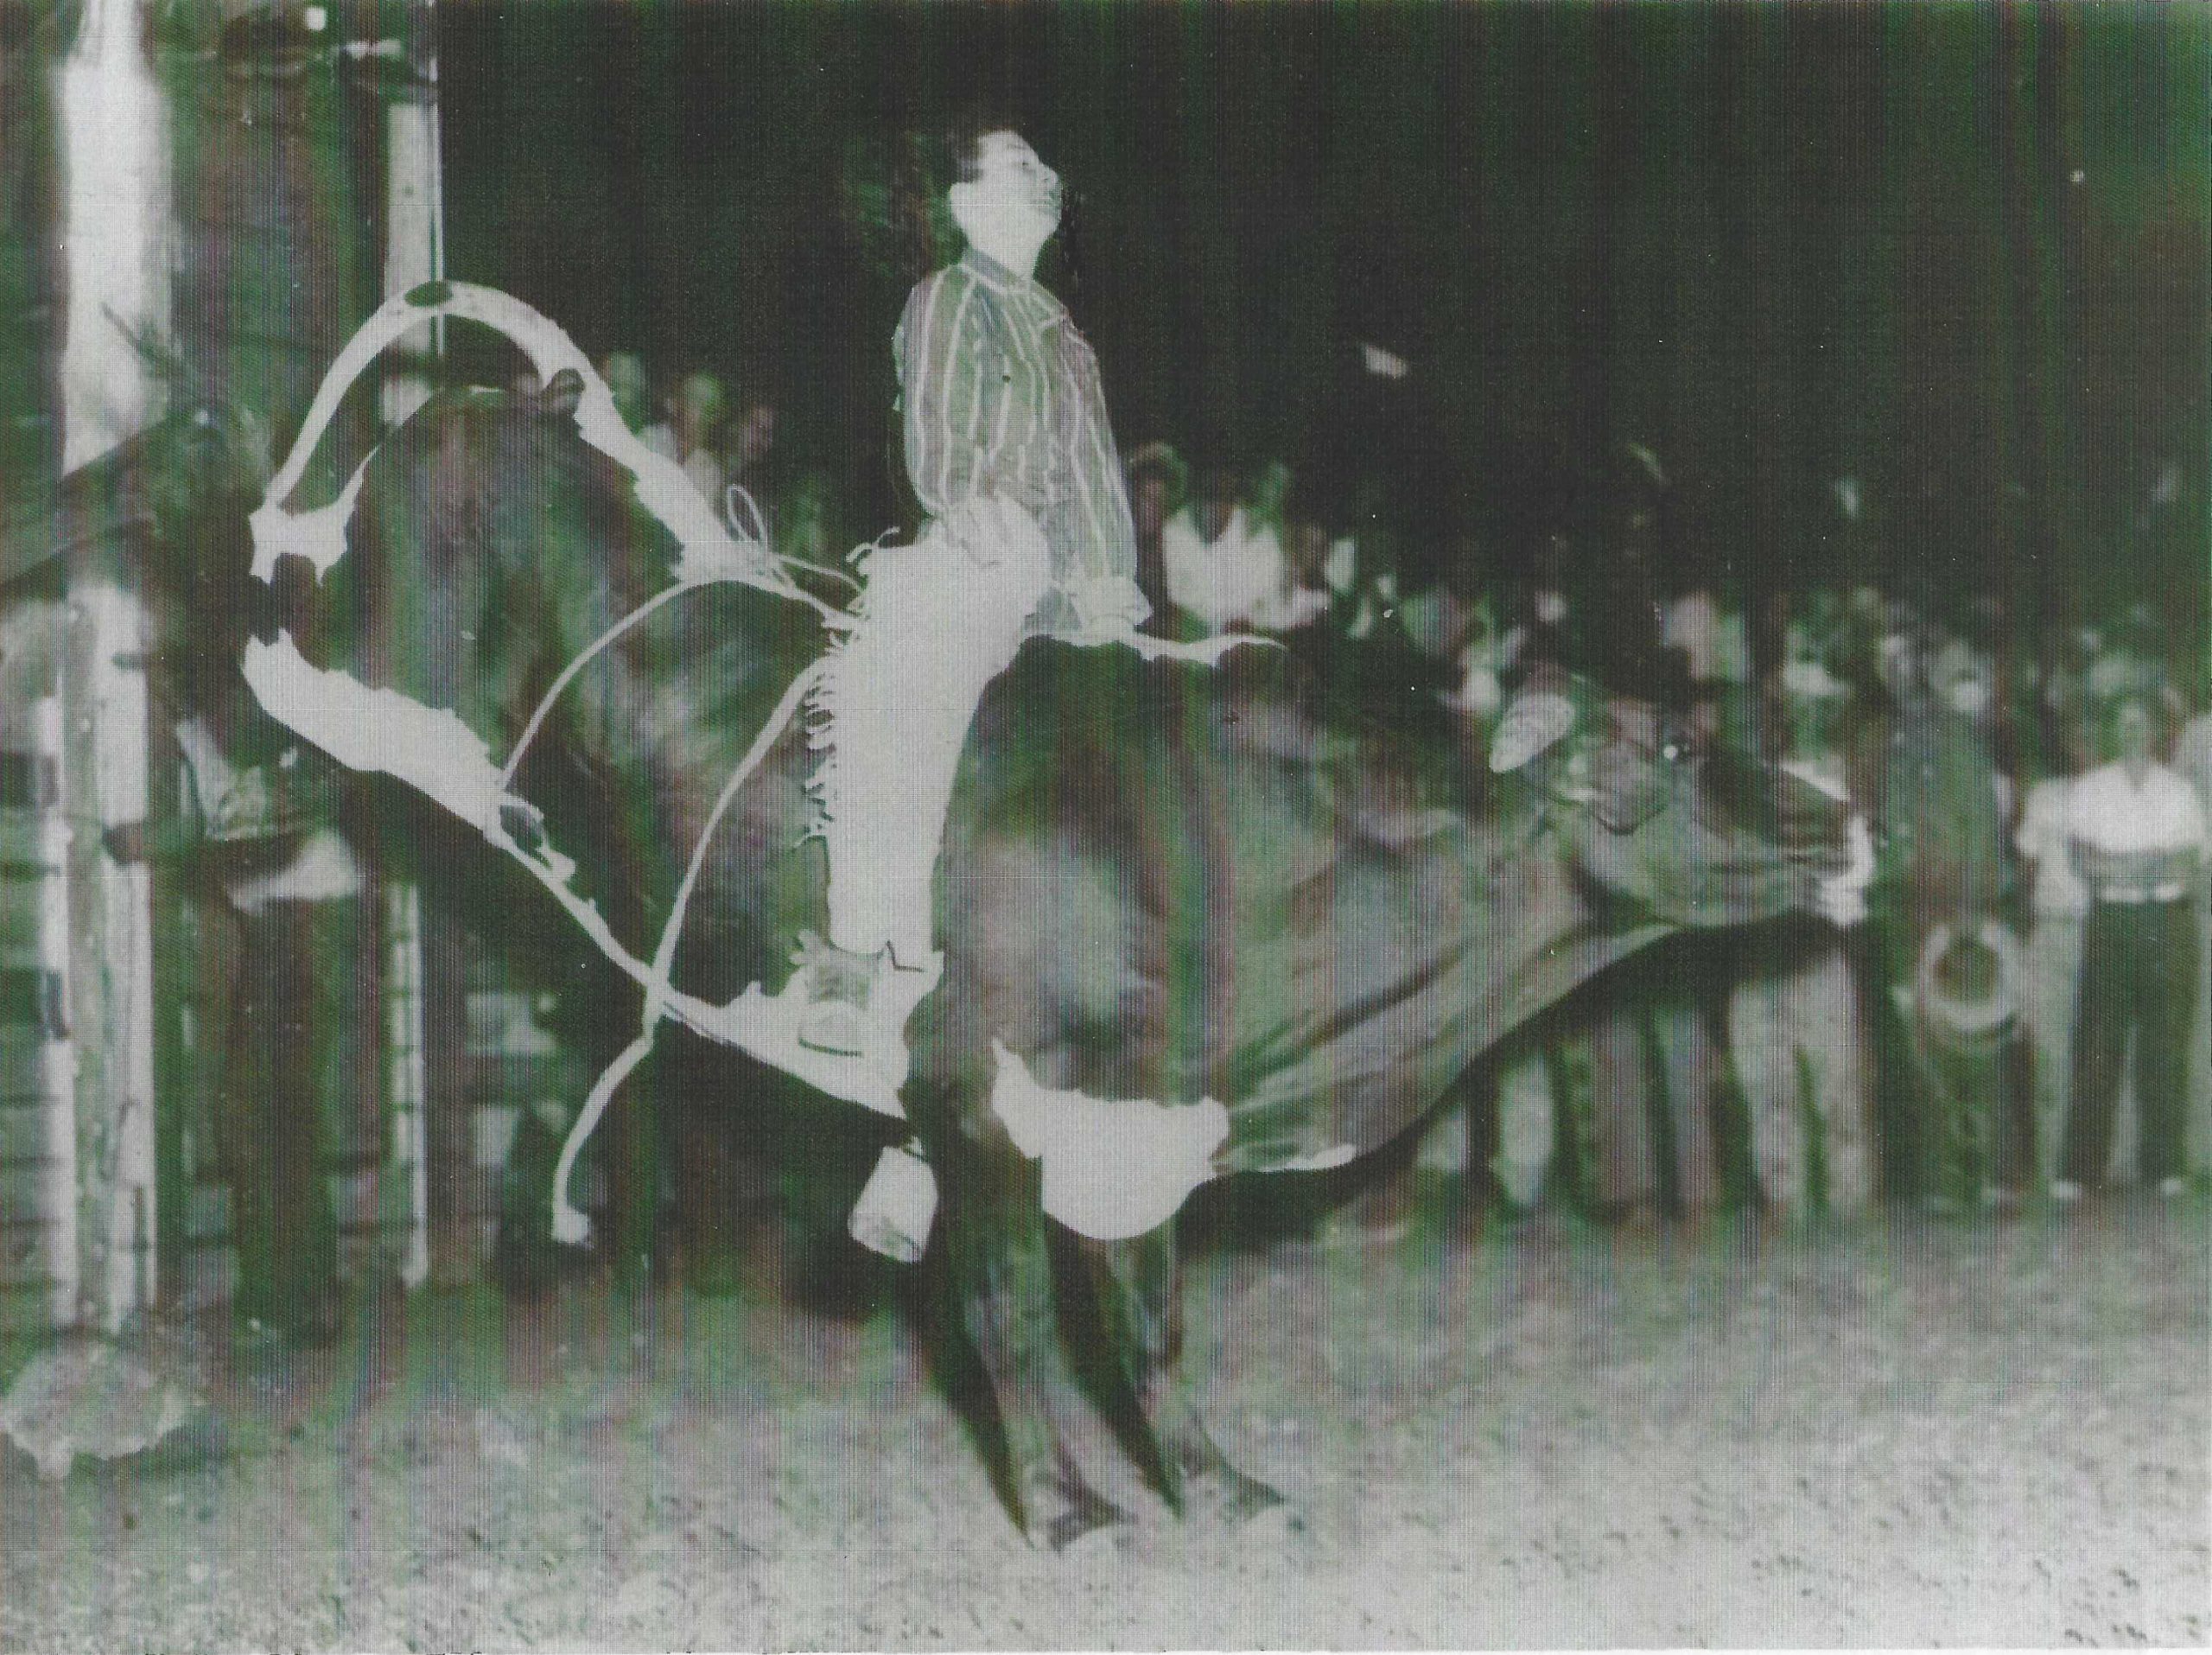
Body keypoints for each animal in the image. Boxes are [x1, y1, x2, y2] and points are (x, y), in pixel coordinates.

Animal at [190, 287, 1858, 1549]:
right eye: (1674, 751)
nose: (1842, 814)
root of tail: (514, 416)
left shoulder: (1146, 1116)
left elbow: (1143, 1324)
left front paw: (1218, 1486)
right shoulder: (977, 1102)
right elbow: (1009, 1315)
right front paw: (1066, 1509)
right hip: (357, 623)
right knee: (274, 606)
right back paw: (227, 713)